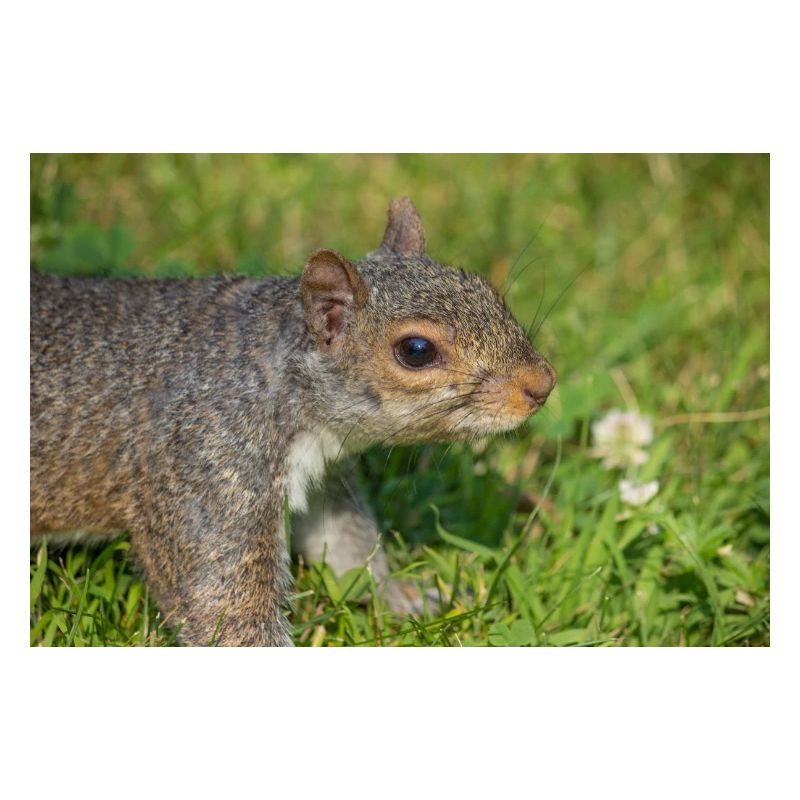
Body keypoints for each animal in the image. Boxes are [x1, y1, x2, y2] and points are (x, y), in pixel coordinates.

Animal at [30, 197, 556, 646]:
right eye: (416, 350)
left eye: (484, 288)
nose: (542, 384)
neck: (275, 373)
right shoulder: (203, 469)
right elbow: (221, 602)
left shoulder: (324, 476)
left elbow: (345, 546)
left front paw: (406, 598)